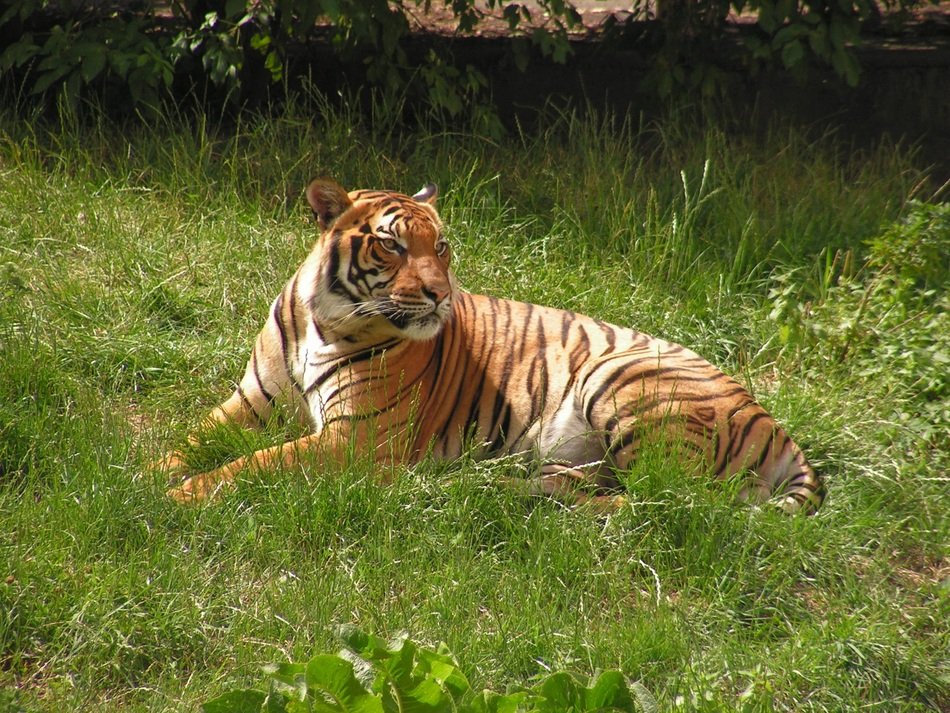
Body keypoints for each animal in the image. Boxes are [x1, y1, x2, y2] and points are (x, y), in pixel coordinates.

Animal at [157, 178, 825, 515]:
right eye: (392, 245)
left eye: (441, 246)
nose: (440, 294)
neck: (325, 319)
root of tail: (775, 425)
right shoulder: (251, 401)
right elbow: (190, 438)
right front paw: (149, 472)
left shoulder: (355, 438)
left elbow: (255, 464)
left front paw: (180, 496)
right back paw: (483, 487)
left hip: (622, 379)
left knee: (658, 504)